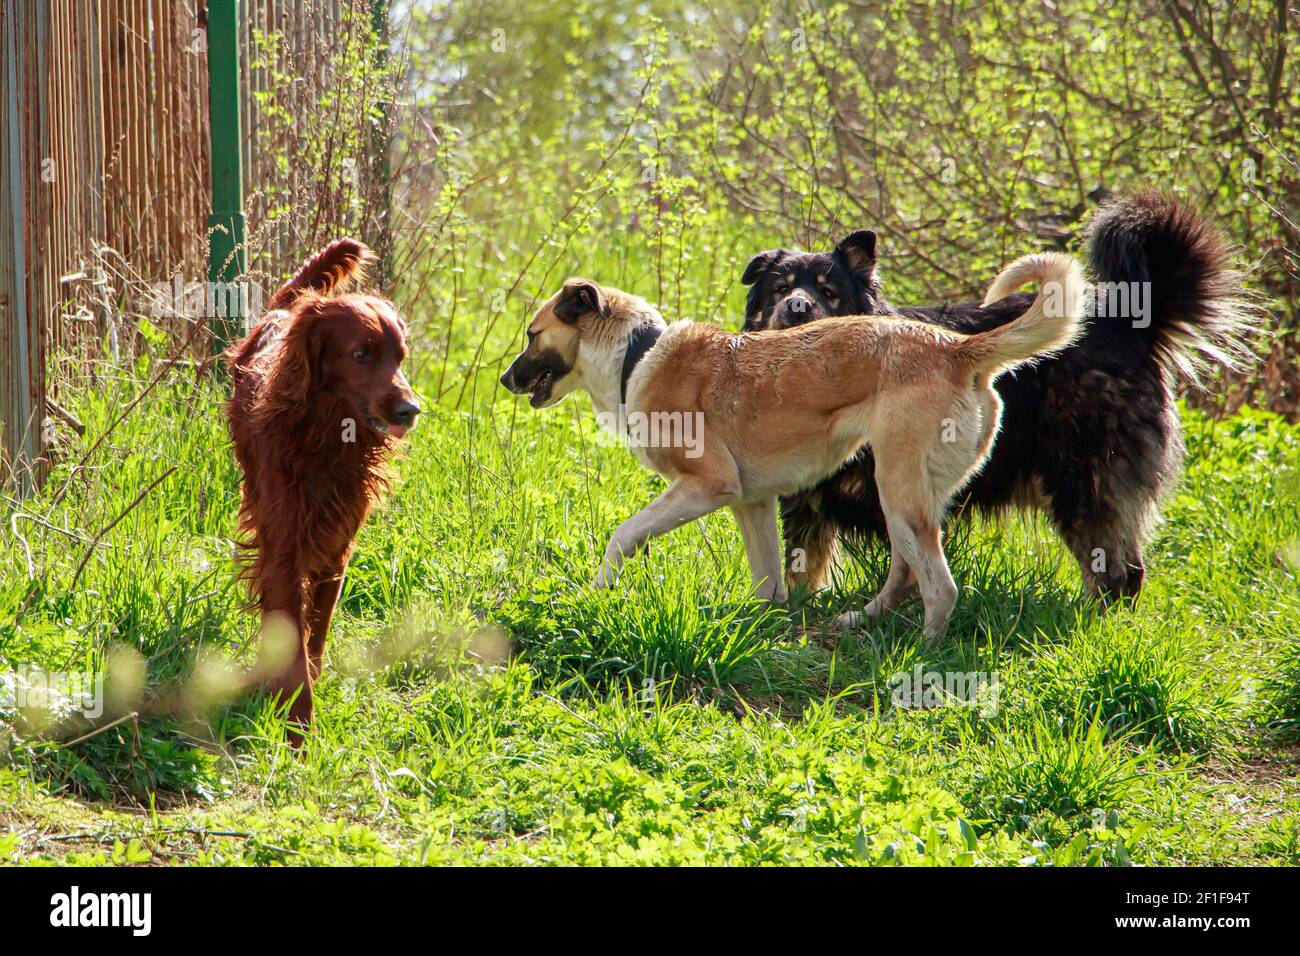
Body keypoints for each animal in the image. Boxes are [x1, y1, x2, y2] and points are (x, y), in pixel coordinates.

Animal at [223, 238, 416, 738]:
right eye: (361, 354)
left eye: (400, 357)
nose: (410, 410)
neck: (325, 439)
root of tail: (285, 309)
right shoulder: (285, 545)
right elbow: (291, 627)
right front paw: (298, 725)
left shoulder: (337, 545)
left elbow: (317, 627)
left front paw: (305, 690)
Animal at [499, 254, 1086, 642]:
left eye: (531, 335)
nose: (504, 380)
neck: (636, 355)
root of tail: (957, 347)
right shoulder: (751, 502)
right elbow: (769, 584)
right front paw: (758, 628)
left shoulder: (707, 486)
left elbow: (623, 535)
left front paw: (595, 593)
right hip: (907, 496)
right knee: (905, 573)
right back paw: (859, 623)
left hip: (898, 488)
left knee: (941, 588)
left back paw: (920, 655)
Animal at [748, 191, 1253, 600]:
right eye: (780, 289)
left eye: (830, 293)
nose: (797, 306)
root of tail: (1131, 323)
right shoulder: (806, 502)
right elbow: (803, 569)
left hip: (1084, 478)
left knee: (1118, 570)